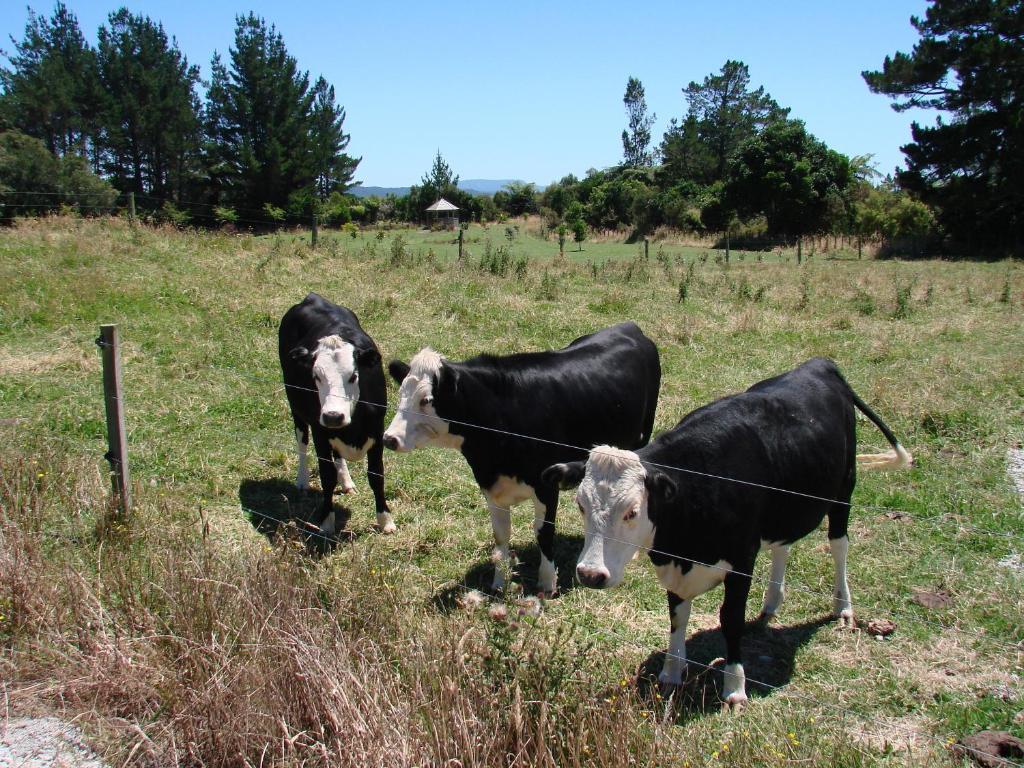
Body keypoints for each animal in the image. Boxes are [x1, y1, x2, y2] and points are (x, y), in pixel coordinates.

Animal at [278, 290, 393, 536]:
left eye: (354, 376)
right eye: (316, 376)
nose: (333, 416)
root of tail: (312, 297)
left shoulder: (377, 431)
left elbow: (376, 475)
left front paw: (385, 520)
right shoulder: (320, 432)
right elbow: (327, 477)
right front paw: (327, 520)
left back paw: (347, 482)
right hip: (295, 406)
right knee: (301, 441)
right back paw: (302, 480)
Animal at [380, 321, 659, 598]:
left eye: (426, 400)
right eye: (401, 393)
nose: (389, 438)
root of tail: (629, 327)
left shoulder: (547, 485)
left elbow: (544, 533)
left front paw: (547, 583)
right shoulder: (491, 486)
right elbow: (501, 535)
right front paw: (499, 581)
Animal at [544, 360, 913, 708]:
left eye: (632, 511)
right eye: (580, 505)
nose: (590, 574)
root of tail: (820, 364)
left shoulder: (741, 560)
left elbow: (731, 619)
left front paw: (735, 688)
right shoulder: (677, 565)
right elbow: (677, 615)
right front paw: (671, 672)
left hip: (843, 491)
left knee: (839, 547)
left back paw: (843, 607)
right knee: (783, 546)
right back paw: (772, 603)